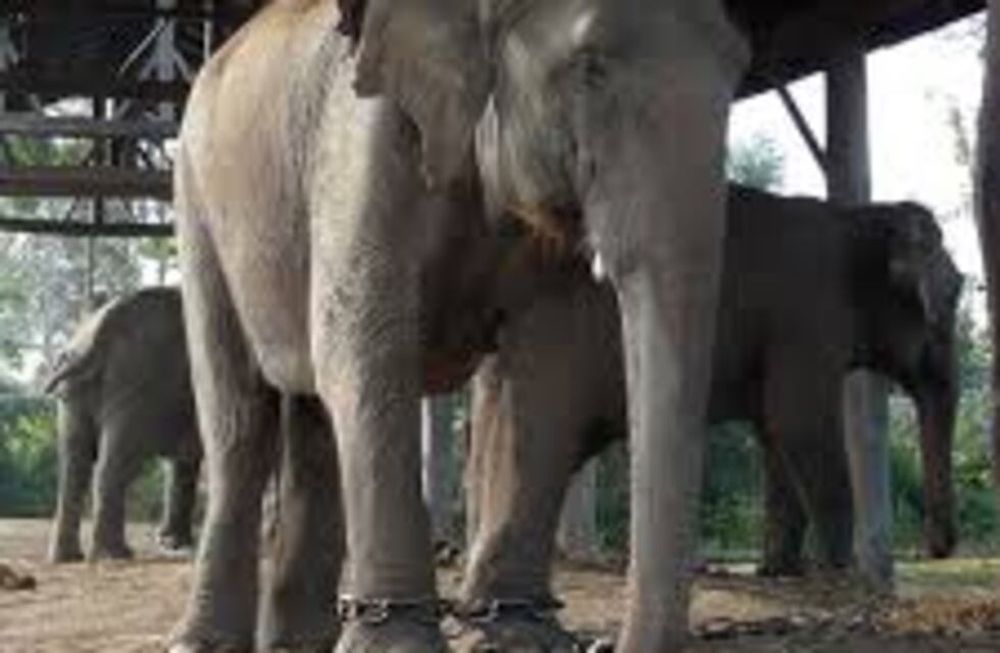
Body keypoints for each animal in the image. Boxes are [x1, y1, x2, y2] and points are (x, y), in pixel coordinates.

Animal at [46, 286, 202, 563]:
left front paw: (172, 544)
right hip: (139, 385)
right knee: (114, 461)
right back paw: (115, 555)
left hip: (74, 389)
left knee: (74, 464)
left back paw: (68, 557)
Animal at [170, 0, 750, 651]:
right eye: (590, 67)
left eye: (738, 72)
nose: (606, 644)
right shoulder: (363, 139)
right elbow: (362, 345)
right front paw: (399, 644)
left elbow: (550, 366)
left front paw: (520, 634)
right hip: (197, 203)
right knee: (240, 420)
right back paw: (202, 641)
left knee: (314, 424)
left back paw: (298, 643)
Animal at [461, 185, 963, 628]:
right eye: (954, 293)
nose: (934, 550)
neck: (857, 218)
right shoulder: (808, 318)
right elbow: (798, 421)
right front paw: (842, 572)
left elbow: (775, 433)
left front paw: (779, 572)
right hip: (556, 354)